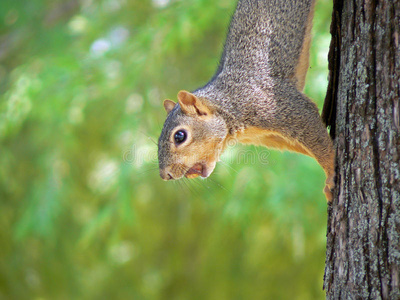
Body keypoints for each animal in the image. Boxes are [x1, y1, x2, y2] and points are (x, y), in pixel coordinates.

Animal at [156, 0, 334, 202]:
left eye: (180, 136)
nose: (165, 175)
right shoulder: (272, 138)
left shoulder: (280, 107)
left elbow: (320, 142)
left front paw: (331, 174)